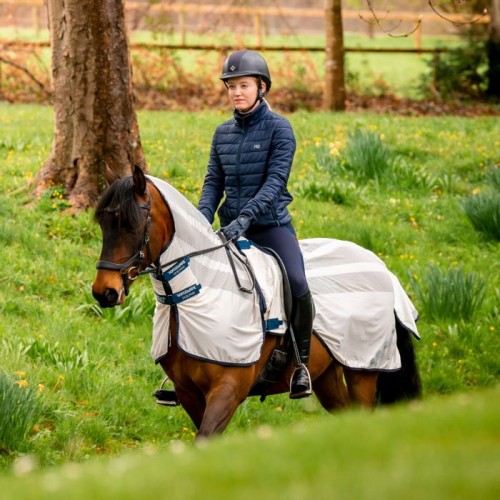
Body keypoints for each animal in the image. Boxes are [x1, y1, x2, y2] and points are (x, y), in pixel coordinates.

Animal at [92, 167, 420, 438]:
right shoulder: (188, 393)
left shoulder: (229, 388)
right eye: (103, 224)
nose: (104, 292)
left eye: (132, 224)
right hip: (327, 374)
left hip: (362, 369)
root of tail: (381, 266)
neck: (196, 293)